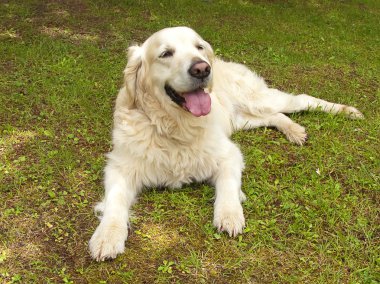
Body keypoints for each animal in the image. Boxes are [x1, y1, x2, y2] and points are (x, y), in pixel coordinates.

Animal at [88, 27, 362, 262]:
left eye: (199, 47)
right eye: (165, 53)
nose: (202, 68)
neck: (176, 127)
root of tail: (223, 61)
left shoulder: (229, 154)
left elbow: (228, 185)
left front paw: (229, 214)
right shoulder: (119, 167)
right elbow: (115, 201)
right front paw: (107, 235)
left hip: (259, 100)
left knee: (301, 100)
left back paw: (348, 111)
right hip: (242, 118)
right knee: (275, 116)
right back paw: (294, 130)